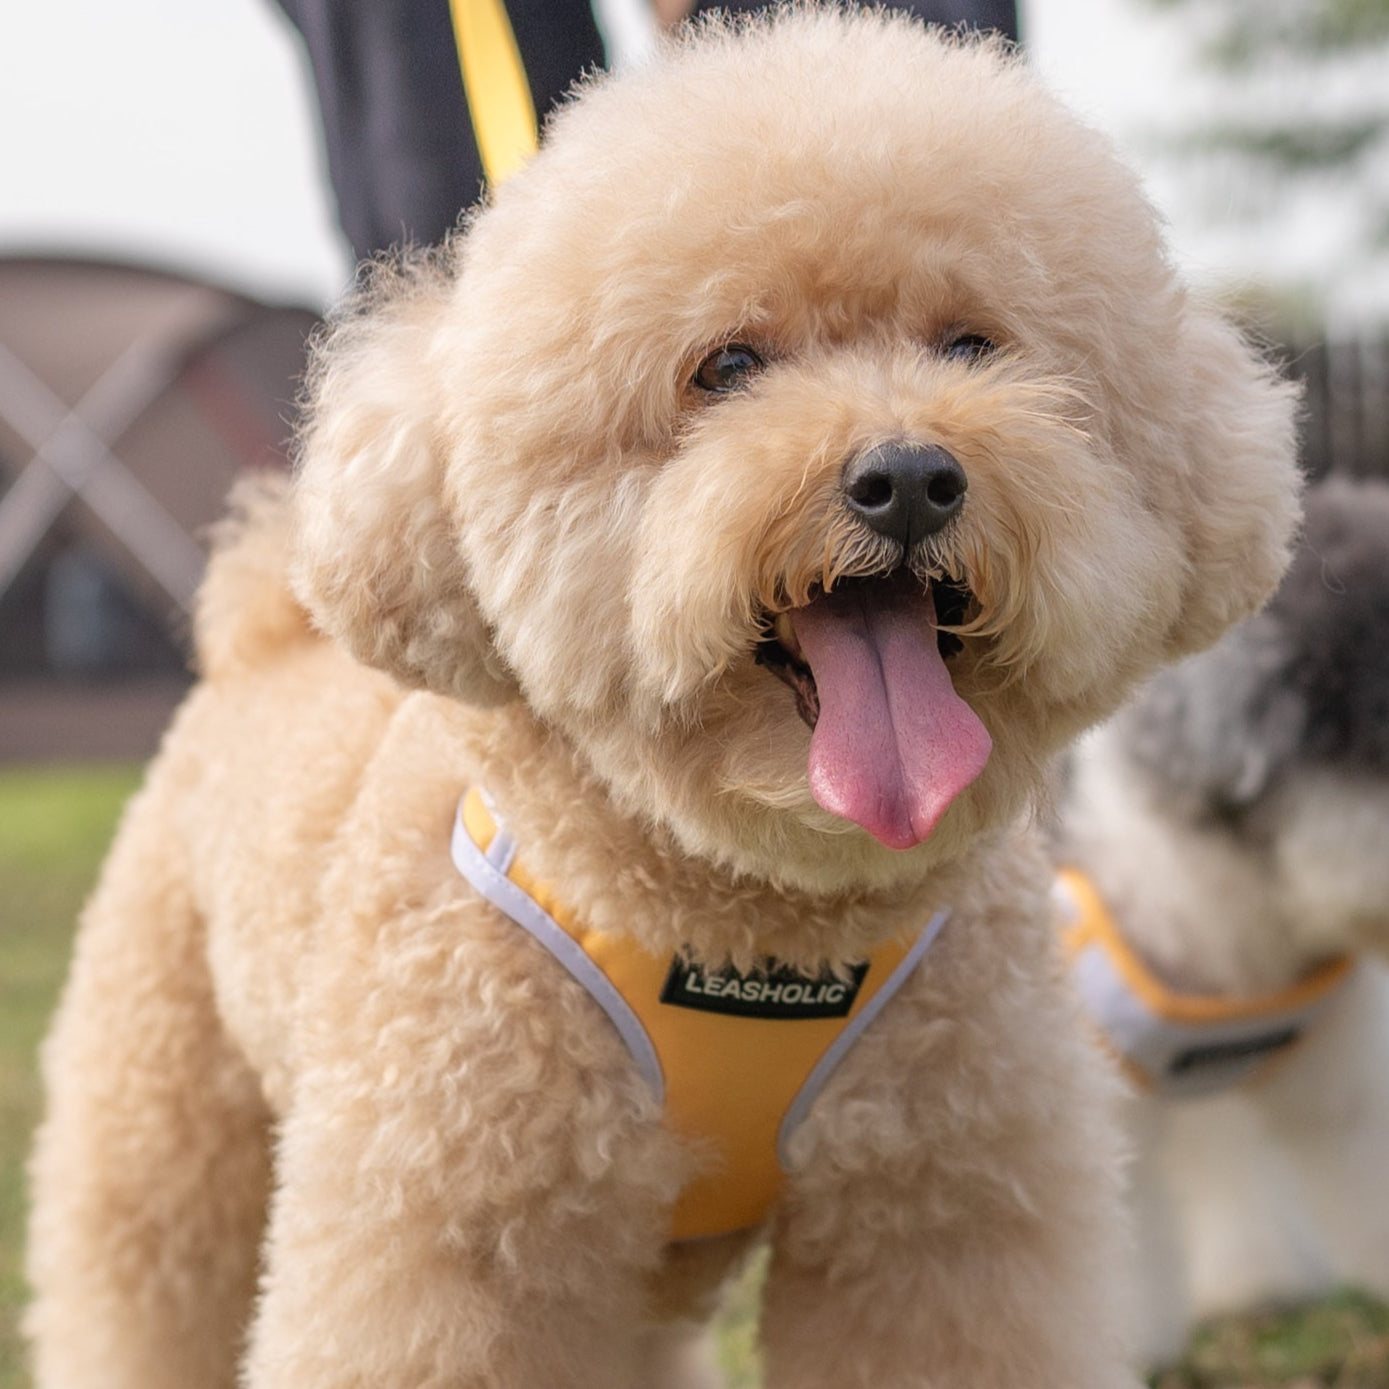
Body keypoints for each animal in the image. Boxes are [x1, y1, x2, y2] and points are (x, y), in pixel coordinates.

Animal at [24, 10, 1300, 1389]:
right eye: (726, 366)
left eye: (970, 346)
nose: (909, 476)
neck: (754, 922)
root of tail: (261, 631)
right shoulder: (455, 1231)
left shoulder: (936, 1217)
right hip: (165, 1120)